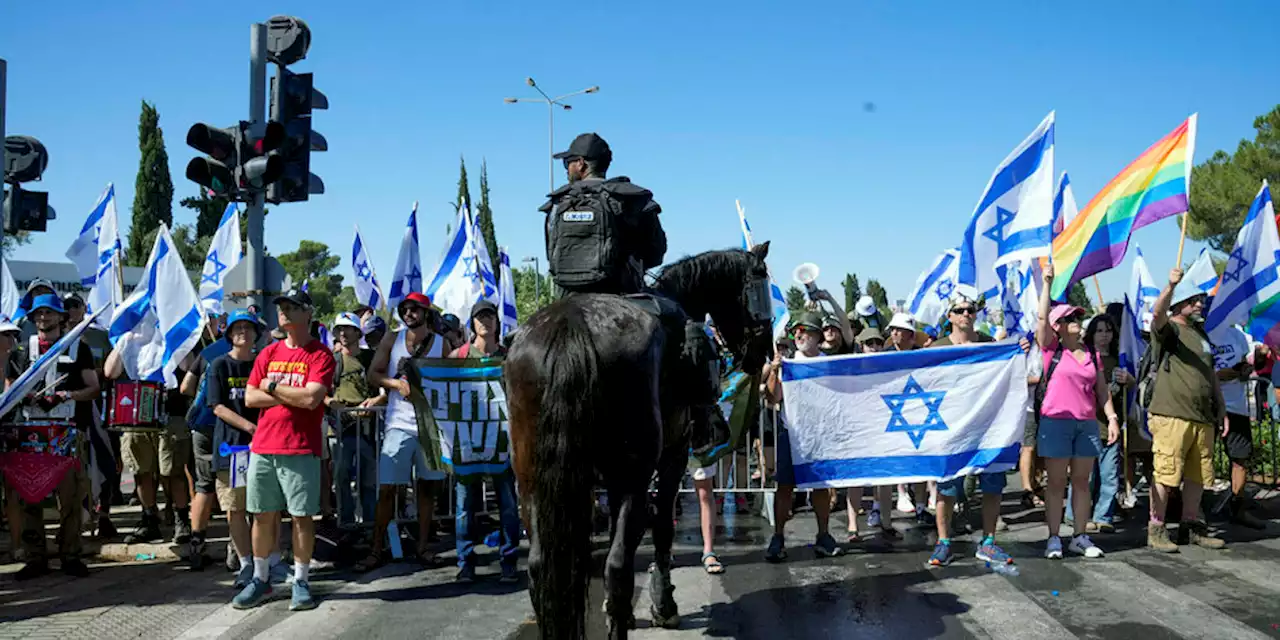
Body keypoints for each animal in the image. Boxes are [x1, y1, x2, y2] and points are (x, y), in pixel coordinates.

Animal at [506, 244, 768, 640]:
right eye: (762, 288)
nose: (762, 355)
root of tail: (572, 324)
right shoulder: (672, 459)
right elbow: (661, 529)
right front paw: (664, 606)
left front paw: (624, 613)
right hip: (634, 472)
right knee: (616, 564)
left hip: (532, 482)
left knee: (541, 568)